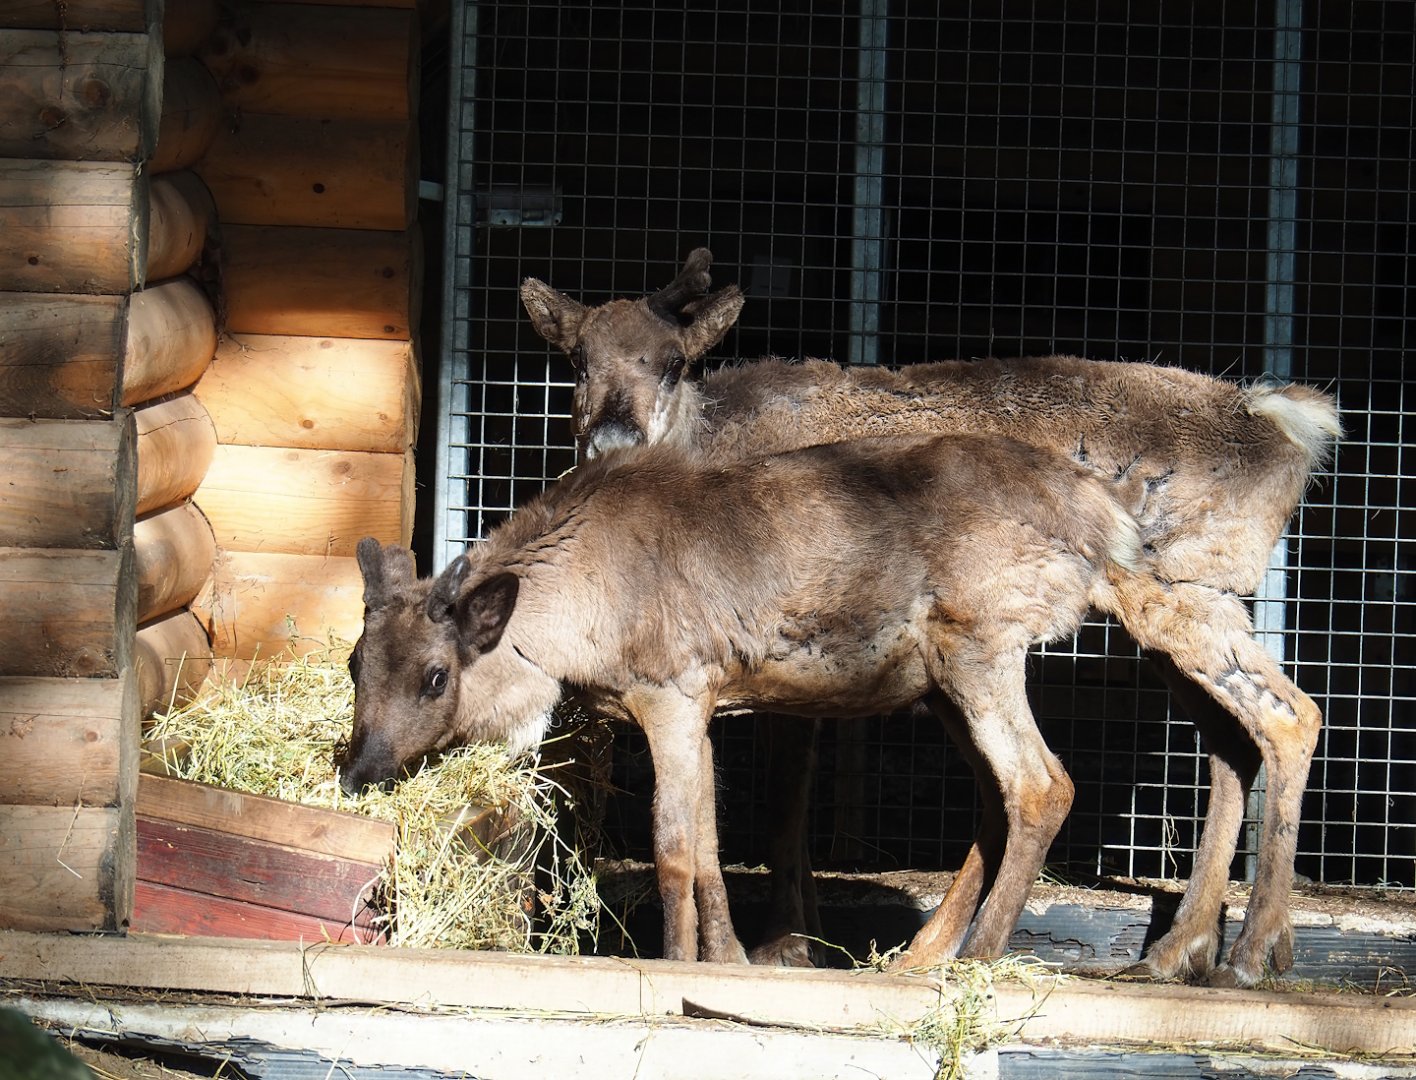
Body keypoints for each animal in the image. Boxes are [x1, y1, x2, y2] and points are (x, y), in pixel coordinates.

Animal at [517, 248, 1340, 986]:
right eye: (577, 359)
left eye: (671, 361)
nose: (610, 438)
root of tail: (1283, 428)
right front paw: (781, 940)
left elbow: (782, 800)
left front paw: (784, 945)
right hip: (1173, 612)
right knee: (1230, 740)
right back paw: (1179, 949)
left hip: (1178, 593)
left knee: (1287, 717)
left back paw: (1250, 952)